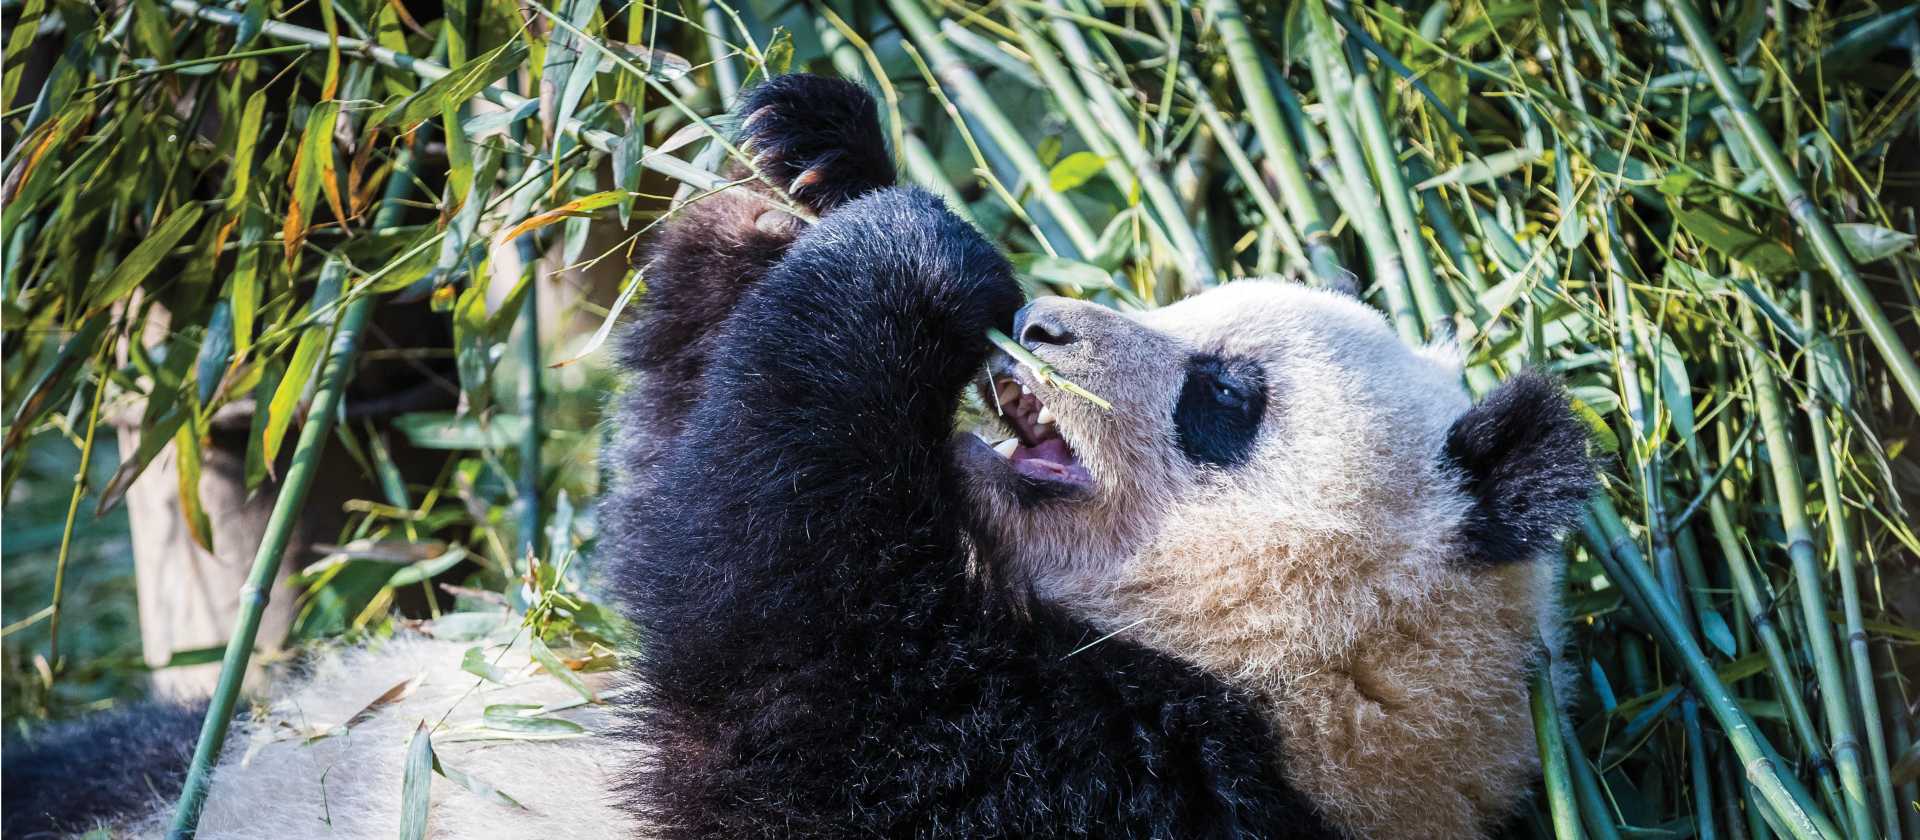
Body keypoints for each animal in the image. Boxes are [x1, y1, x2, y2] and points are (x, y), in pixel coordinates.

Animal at [1, 75, 1593, 839]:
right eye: (1186, 302)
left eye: (1223, 396)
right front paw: (816, 159)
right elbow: (674, 477)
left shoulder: (1069, 777)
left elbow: (764, 596)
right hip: (189, 747)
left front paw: (909, 257)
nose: (1041, 326)